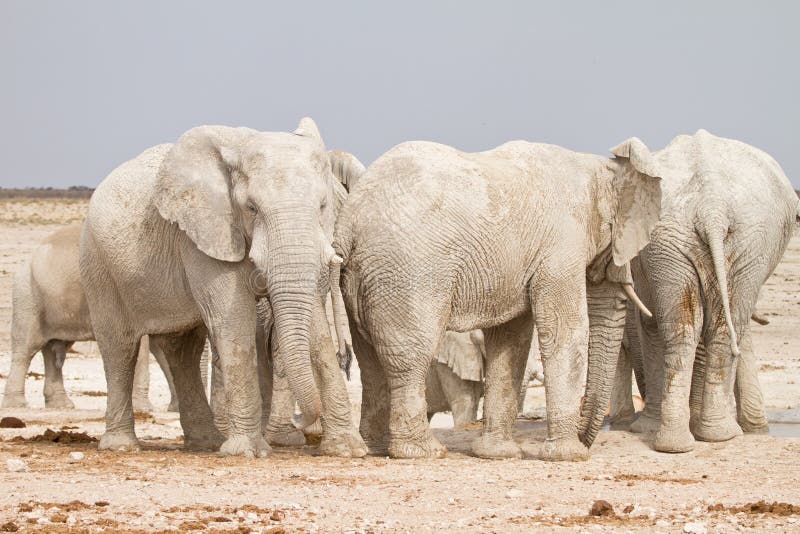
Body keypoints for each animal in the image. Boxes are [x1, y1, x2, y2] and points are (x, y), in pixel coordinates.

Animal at [1, 222, 185, 412]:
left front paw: (176, 410)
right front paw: (144, 409)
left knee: (53, 348)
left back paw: (62, 406)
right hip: (27, 297)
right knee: (26, 348)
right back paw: (18, 406)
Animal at [79, 118, 366, 457]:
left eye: (323, 206)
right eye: (251, 208)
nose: (302, 421)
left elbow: (316, 329)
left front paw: (348, 449)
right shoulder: (205, 234)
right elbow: (234, 321)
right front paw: (248, 452)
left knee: (182, 351)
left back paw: (206, 442)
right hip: (98, 265)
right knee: (119, 346)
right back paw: (122, 446)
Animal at [333, 137, 663, 460]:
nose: (586, 439)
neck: (596, 166)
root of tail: (349, 222)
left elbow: (511, 339)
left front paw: (497, 454)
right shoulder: (561, 245)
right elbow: (564, 330)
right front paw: (568, 455)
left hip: (367, 277)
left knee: (370, 359)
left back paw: (375, 449)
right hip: (409, 272)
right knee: (410, 356)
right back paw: (423, 452)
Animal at [605, 130, 799, 453]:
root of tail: (712, 205)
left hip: (744, 240)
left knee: (701, 327)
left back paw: (699, 437)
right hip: (686, 240)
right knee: (697, 327)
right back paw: (696, 437)